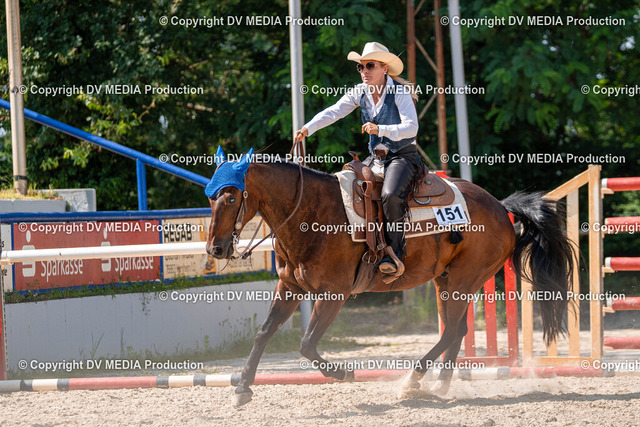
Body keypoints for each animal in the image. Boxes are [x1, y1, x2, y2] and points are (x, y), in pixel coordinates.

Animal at [204, 148, 575, 406]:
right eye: (210, 197)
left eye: (231, 196)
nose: (215, 249)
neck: (311, 213)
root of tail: (500, 207)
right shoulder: (290, 287)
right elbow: (264, 333)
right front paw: (242, 388)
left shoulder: (334, 294)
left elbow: (307, 343)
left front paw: (342, 372)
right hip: (446, 281)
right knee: (458, 330)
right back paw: (439, 384)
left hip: (463, 280)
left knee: (452, 330)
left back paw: (414, 379)